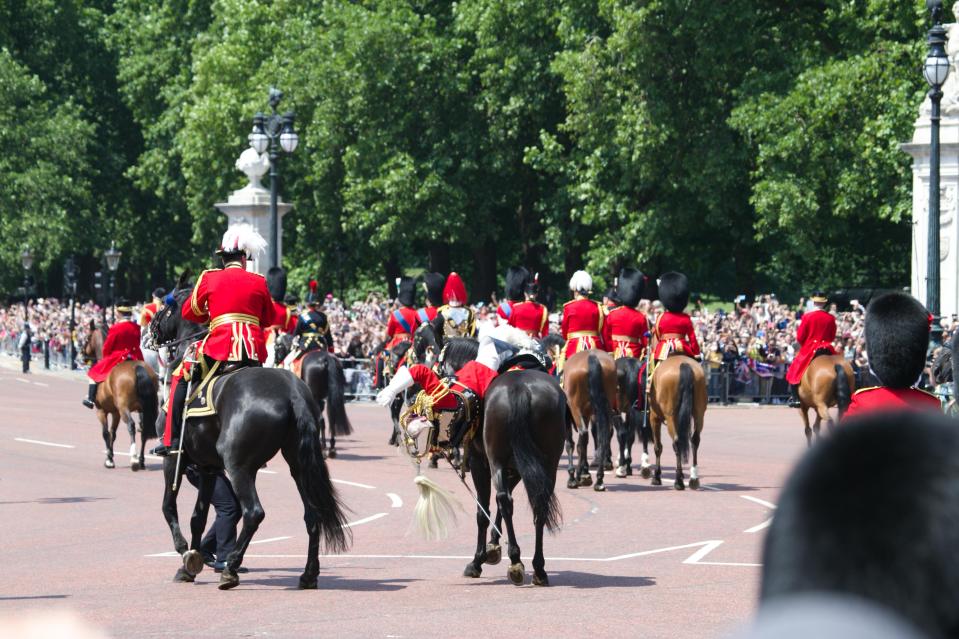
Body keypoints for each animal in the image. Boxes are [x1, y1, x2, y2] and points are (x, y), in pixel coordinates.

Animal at [153, 288, 352, 592]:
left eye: (163, 309)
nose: (149, 334)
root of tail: (292, 393)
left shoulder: (175, 459)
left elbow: (168, 507)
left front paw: (184, 551)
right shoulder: (208, 467)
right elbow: (199, 516)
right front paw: (190, 565)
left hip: (238, 467)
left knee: (253, 513)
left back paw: (231, 569)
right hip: (297, 464)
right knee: (312, 514)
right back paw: (308, 574)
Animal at [564, 352, 616, 492]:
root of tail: (592, 356)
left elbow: (571, 444)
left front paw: (575, 476)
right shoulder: (587, 414)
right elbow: (585, 444)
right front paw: (585, 472)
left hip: (575, 407)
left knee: (583, 434)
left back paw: (576, 477)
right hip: (605, 408)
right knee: (603, 436)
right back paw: (599, 479)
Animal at [648, 356, 708, 490]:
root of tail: (684, 364)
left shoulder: (654, 418)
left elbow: (657, 447)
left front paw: (657, 476)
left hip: (670, 417)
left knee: (677, 442)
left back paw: (678, 481)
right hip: (699, 414)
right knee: (695, 440)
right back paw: (693, 478)